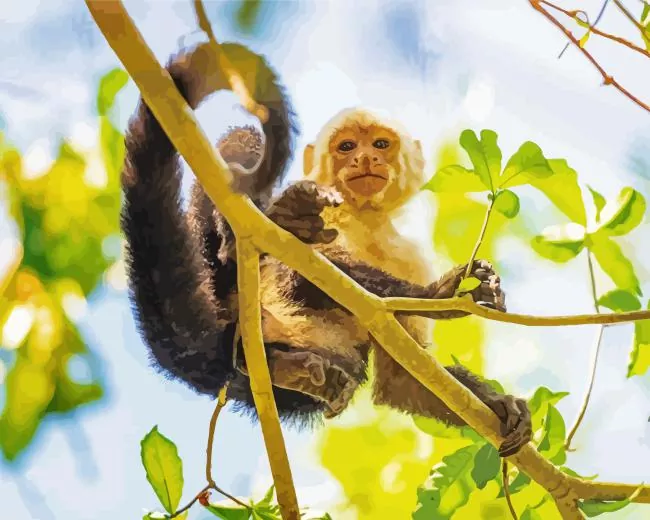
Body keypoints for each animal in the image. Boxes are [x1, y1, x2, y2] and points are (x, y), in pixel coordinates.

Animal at [121, 42, 531, 457]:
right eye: (347, 146)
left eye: (380, 144)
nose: (365, 158)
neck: (363, 219)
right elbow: (305, 271)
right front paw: (439, 295)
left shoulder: (409, 254)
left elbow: (403, 382)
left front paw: (501, 404)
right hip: (226, 287)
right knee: (247, 155)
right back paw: (266, 231)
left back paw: (285, 368)